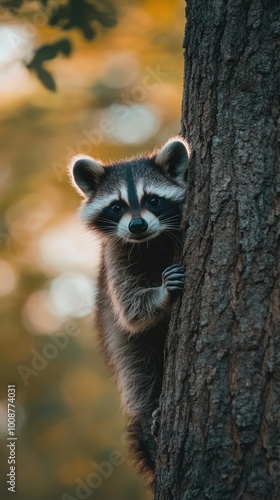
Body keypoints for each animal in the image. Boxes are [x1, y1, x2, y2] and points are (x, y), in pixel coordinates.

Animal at [69, 136, 189, 484]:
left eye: (153, 200)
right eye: (117, 206)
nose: (137, 225)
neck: (149, 241)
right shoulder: (115, 257)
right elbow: (131, 310)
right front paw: (160, 294)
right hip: (125, 347)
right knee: (140, 369)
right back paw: (151, 412)